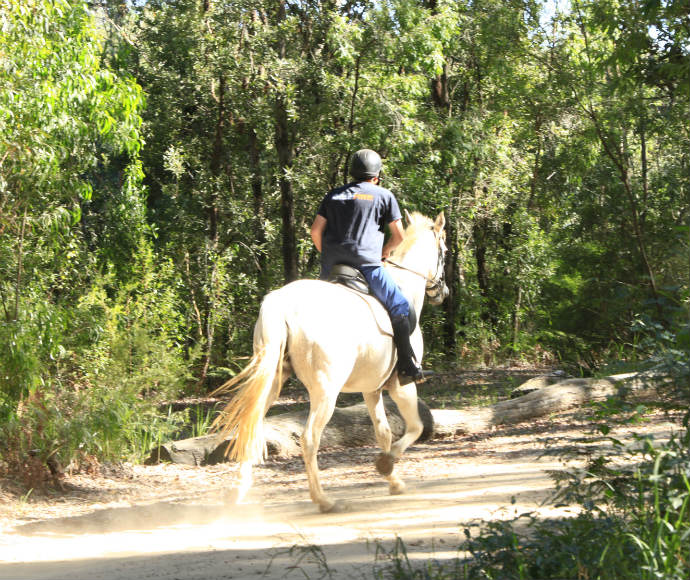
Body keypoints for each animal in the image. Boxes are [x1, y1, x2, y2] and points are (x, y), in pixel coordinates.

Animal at [212, 212, 446, 512]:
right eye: (444, 252)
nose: (443, 293)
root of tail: (282, 304)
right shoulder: (401, 385)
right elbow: (415, 426)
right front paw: (386, 464)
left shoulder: (371, 389)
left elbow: (382, 432)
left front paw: (393, 481)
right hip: (326, 392)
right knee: (310, 438)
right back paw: (322, 499)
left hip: (272, 381)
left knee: (251, 428)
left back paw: (238, 493)